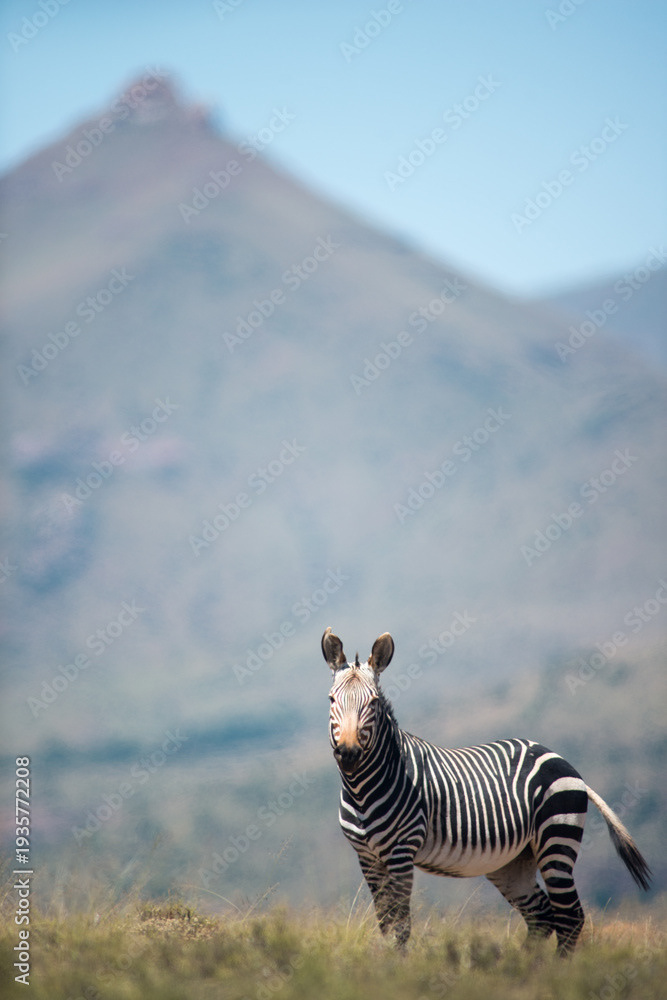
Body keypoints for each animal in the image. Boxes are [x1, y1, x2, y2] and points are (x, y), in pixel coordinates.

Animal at [322, 627, 651, 954]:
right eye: (331, 699)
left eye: (373, 703)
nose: (349, 753)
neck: (363, 790)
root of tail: (561, 760)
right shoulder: (367, 857)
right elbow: (386, 923)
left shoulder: (402, 850)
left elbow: (401, 927)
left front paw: (399, 966)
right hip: (513, 862)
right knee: (542, 917)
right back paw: (523, 966)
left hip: (556, 840)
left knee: (570, 917)